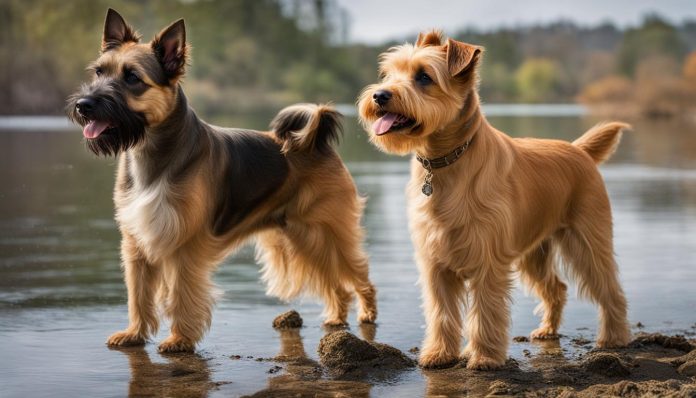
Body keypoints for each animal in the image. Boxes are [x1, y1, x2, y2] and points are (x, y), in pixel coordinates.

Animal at [68, 8, 378, 352]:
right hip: (304, 238)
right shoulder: (136, 244)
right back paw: (336, 317)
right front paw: (134, 333)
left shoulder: (184, 246)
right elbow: (138, 295)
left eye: (132, 78)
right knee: (335, 284)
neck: (152, 153)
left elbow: (181, 294)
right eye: (98, 72)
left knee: (359, 276)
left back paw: (366, 312)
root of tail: (316, 142)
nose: (84, 105)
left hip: (329, 234)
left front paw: (179, 339)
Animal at [358, 31, 632, 370]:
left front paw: (485, 357)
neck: (445, 162)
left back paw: (614, 338)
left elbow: (485, 312)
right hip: (534, 253)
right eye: (388, 74)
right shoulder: (435, 263)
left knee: (610, 290)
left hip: (587, 241)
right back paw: (547, 329)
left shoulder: (488, 261)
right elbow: (441, 313)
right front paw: (439, 353)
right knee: (556, 288)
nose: (379, 95)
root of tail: (579, 150)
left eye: (423, 77)